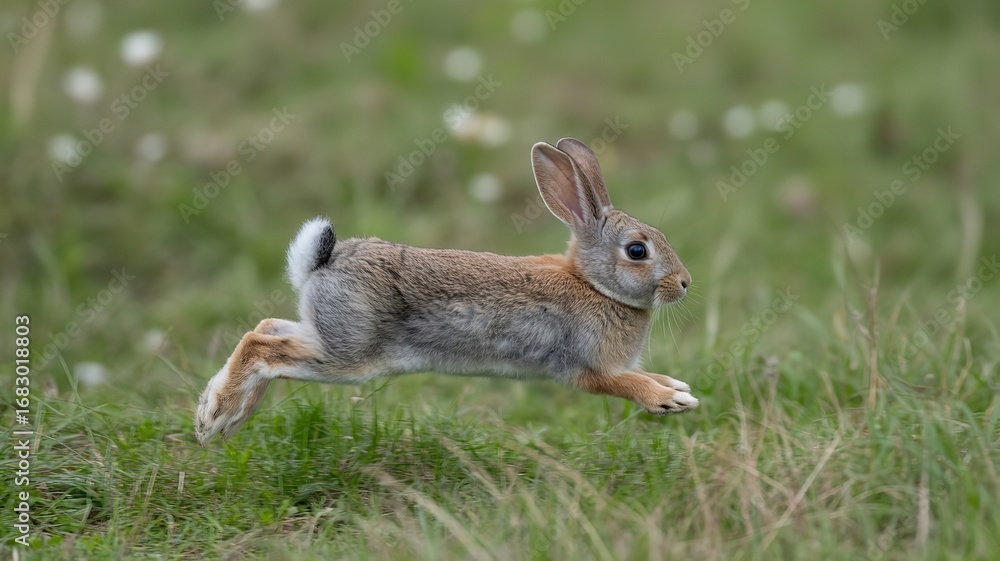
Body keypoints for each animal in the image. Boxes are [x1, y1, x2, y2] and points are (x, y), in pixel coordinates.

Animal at [195, 137, 696, 444]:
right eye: (637, 250)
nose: (684, 283)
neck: (595, 285)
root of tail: (321, 261)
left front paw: (677, 385)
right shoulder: (587, 368)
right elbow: (625, 383)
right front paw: (671, 400)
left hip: (324, 333)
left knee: (267, 329)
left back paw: (226, 414)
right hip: (347, 356)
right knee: (262, 347)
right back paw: (215, 415)